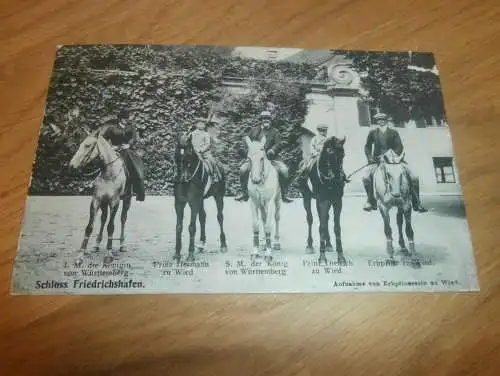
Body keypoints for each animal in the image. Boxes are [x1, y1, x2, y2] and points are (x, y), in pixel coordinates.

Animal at [68, 129, 131, 264]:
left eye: (87, 145)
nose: (71, 166)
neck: (109, 174)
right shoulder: (96, 201)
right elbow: (89, 227)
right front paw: (80, 255)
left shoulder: (114, 202)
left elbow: (111, 227)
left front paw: (108, 253)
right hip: (103, 203)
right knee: (103, 219)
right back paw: (96, 244)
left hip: (127, 200)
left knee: (123, 219)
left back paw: (122, 244)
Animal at [172, 134, 227, 262]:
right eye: (177, 150)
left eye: (189, 151)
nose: (182, 177)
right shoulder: (179, 203)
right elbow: (178, 227)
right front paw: (177, 254)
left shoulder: (194, 203)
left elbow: (191, 227)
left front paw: (190, 255)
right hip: (201, 200)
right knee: (203, 217)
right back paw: (201, 243)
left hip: (218, 197)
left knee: (220, 217)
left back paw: (223, 245)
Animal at [298, 135, 346, 264]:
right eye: (330, 152)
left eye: (343, 154)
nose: (339, 177)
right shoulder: (322, 201)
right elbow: (322, 227)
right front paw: (322, 257)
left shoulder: (336, 201)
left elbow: (337, 227)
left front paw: (341, 256)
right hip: (307, 197)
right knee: (310, 219)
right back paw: (309, 246)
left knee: (325, 219)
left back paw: (328, 244)